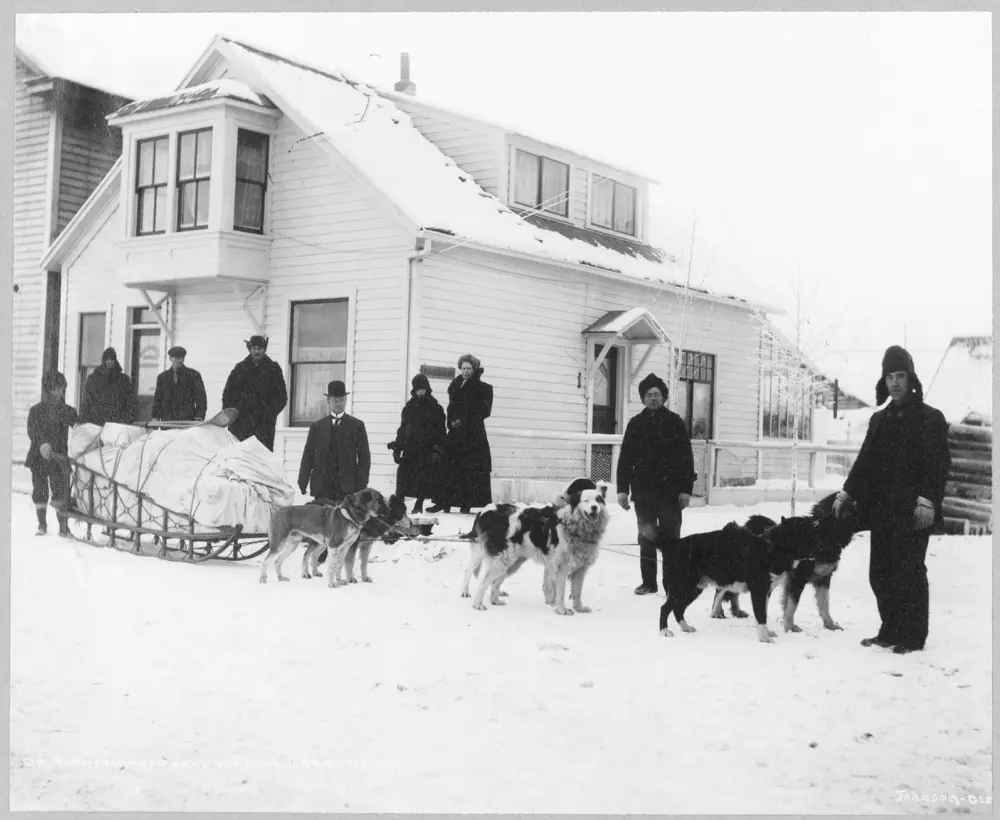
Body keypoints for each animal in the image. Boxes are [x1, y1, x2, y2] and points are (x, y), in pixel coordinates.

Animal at [458, 478, 608, 620]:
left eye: (598, 500)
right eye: (586, 500)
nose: (605, 487)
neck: (571, 524)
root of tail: (485, 511)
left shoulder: (578, 567)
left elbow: (576, 591)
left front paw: (578, 608)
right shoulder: (560, 565)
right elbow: (559, 590)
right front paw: (560, 609)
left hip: (512, 562)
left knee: (495, 582)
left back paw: (495, 600)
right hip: (498, 558)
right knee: (476, 577)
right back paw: (474, 601)